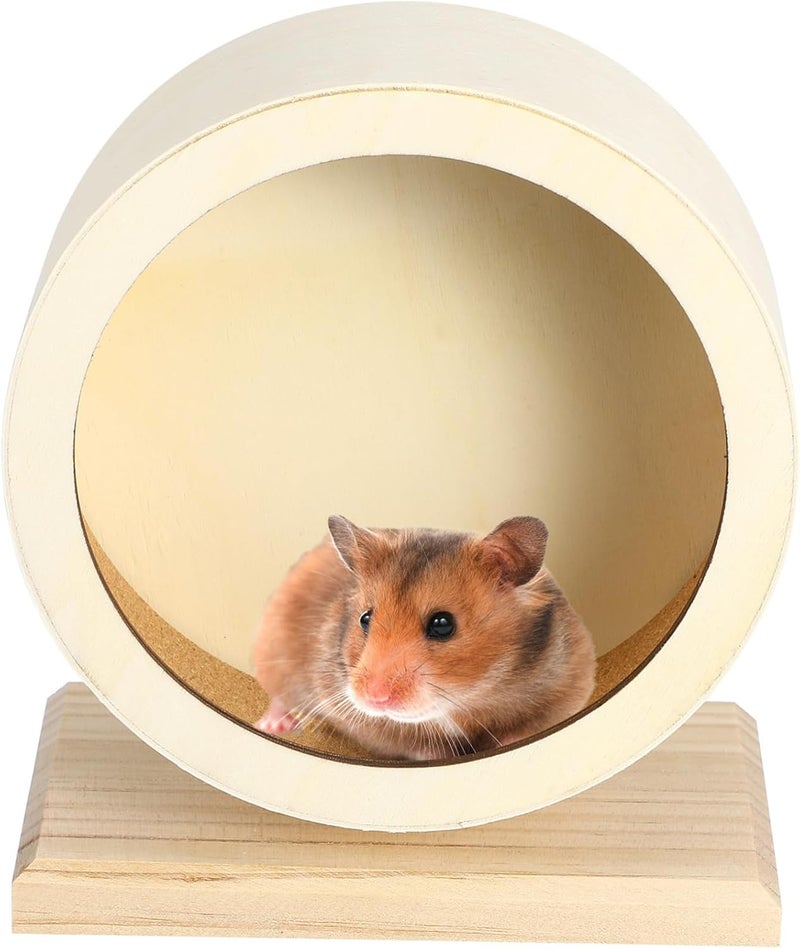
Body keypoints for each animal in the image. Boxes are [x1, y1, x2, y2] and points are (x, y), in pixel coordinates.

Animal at [252, 515, 596, 761]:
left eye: (442, 624)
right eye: (365, 618)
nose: (374, 698)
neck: (466, 699)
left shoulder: (570, 683)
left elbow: (531, 727)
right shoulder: (357, 716)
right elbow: (416, 744)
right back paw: (273, 725)